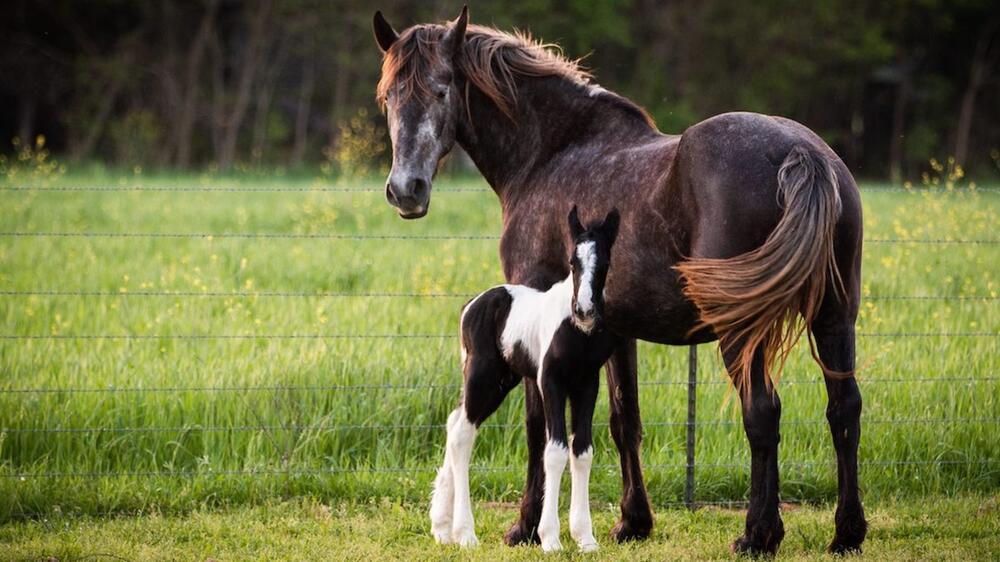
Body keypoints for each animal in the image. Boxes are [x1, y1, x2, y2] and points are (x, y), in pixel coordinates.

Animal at [434, 205, 620, 548]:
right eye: (572, 261)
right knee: (462, 433)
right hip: (481, 377)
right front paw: (550, 539)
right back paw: (464, 533)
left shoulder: (587, 383)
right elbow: (555, 450)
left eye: (604, 263)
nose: (584, 310)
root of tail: (470, 305)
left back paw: (441, 527)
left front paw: (585, 538)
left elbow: (582, 450)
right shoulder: (551, 382)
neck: (576, 331)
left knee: (454, 422)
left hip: (500, 383)